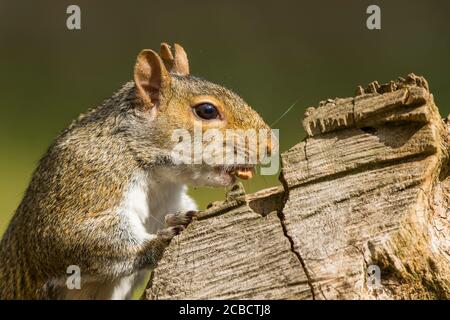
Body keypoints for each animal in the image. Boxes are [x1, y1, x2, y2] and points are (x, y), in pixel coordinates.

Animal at [0, 43, 270, 300]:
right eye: (207, 110)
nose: (270, 145)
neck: (158, 178)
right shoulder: (84, 183)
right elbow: (72, 239)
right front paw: (161, 240)